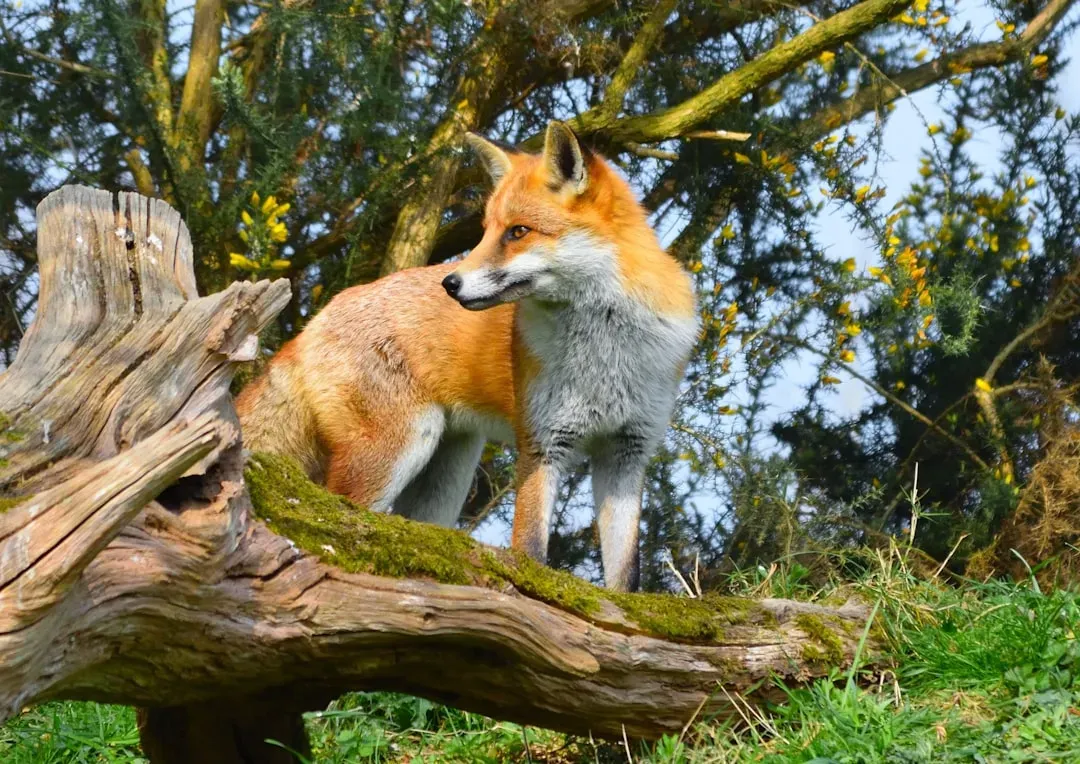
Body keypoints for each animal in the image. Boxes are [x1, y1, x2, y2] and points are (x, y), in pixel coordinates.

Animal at [236, 121, 699, 591]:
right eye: (486, 229)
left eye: (518, 232)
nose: (450, 283)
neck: (607, 353)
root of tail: (318, 317)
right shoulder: (542, 444)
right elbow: (530, 551)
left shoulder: (628, 452)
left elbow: (626, 577)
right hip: (395, 450)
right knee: (338, 515)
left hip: (445, 479)